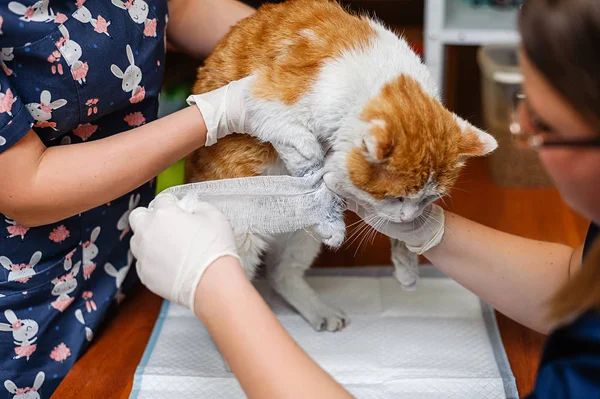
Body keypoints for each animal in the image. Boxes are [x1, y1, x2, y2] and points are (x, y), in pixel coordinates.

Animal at [189, 0, 496, 332]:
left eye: (429, 199)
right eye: (396, 197)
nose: (408, 217)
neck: (381, 76)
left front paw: (407, 267)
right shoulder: (262, 97)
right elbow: (304, 154)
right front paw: (320, 181)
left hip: (301, 240)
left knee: (281, 274)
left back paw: (319, 310)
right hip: (240, 239)